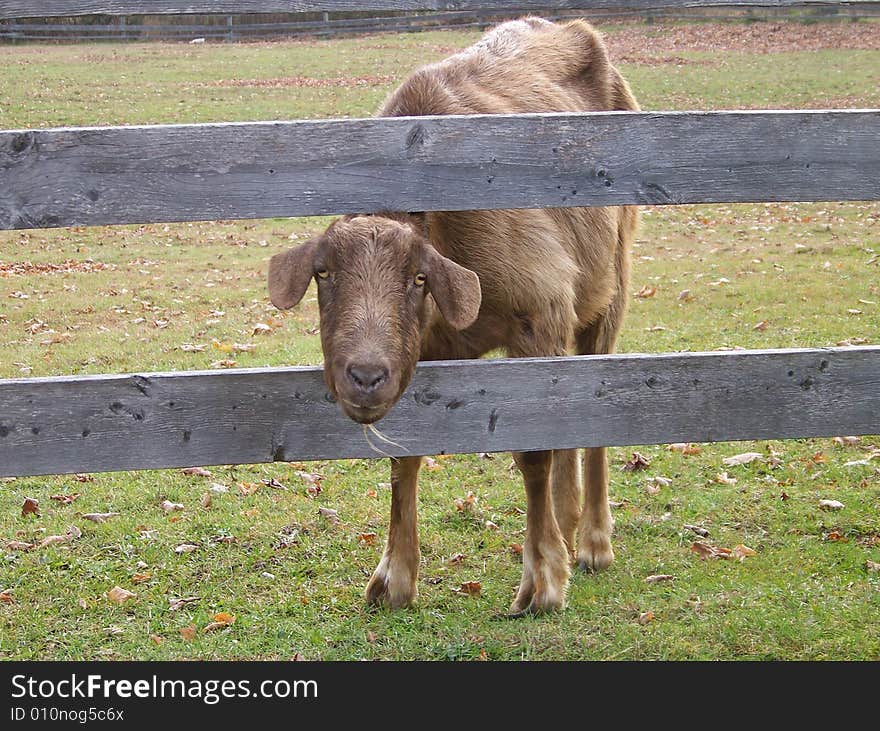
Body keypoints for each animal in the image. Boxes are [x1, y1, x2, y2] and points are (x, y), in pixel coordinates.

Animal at [268, 15, 640, 616]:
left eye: (417, 278)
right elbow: (406, 459)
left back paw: (591, 543)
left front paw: (542, 582)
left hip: (610, 289)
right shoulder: (428, 353)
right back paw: (568, 523)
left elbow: (534, 450)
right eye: (324, 274)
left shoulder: (539, 316)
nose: (365, 376)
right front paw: (394, 577)